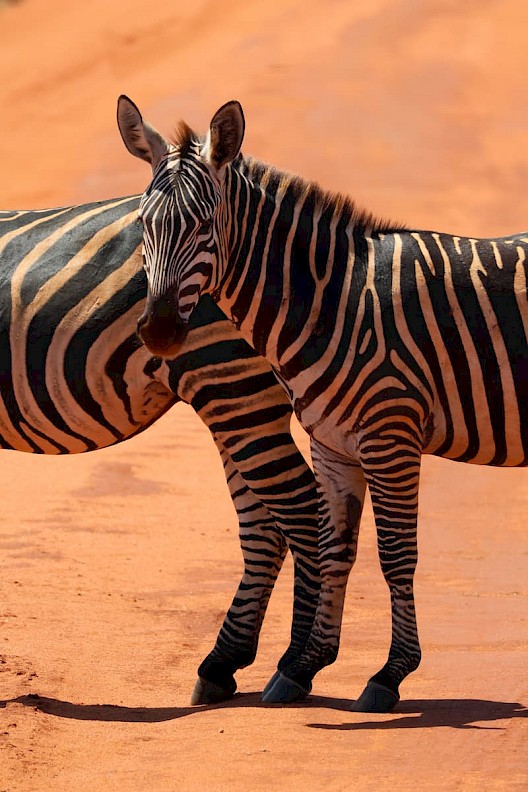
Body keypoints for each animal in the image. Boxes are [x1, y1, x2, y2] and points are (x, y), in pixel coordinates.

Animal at [0, 195, 318, 704]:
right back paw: (221, 664)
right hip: (240, 396)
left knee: (301, 511)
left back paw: (294, 669)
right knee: (265, 524)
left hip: (229, 381)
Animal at [118, 96, 528, 716]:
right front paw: (302, 667)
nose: (160, 332)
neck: (335, 301)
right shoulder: (333, 444)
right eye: (143, 224)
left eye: (205, 226)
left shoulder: (390, 435)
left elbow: (395, 554)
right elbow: (335, 549)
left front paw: (389, 675)